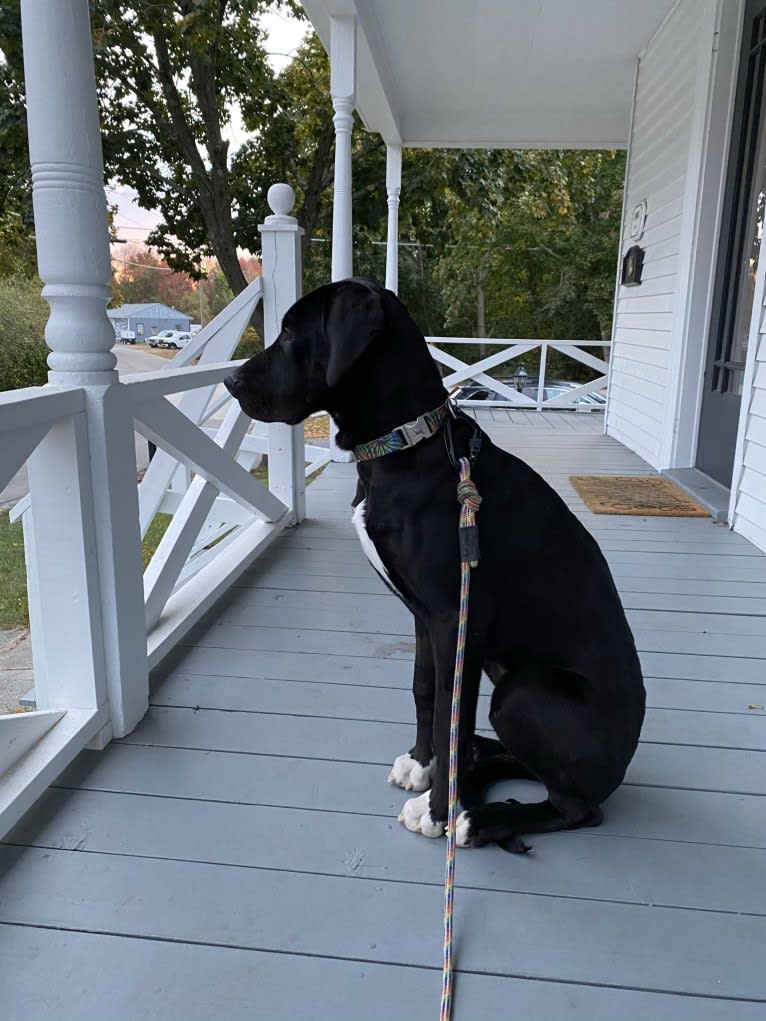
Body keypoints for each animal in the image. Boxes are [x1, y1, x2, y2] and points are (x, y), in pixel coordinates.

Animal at [224, 279, 645, 853]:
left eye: (291, 333)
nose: (229, 382)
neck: (407, 444)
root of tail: (623, 762)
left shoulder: (457, 620)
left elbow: (451, 712)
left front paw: (438, 810)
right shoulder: (426, 617)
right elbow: (426, 691)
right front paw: (423, 766)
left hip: (523, 692)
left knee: (579, 808)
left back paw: (477, 818)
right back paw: (477, 769)